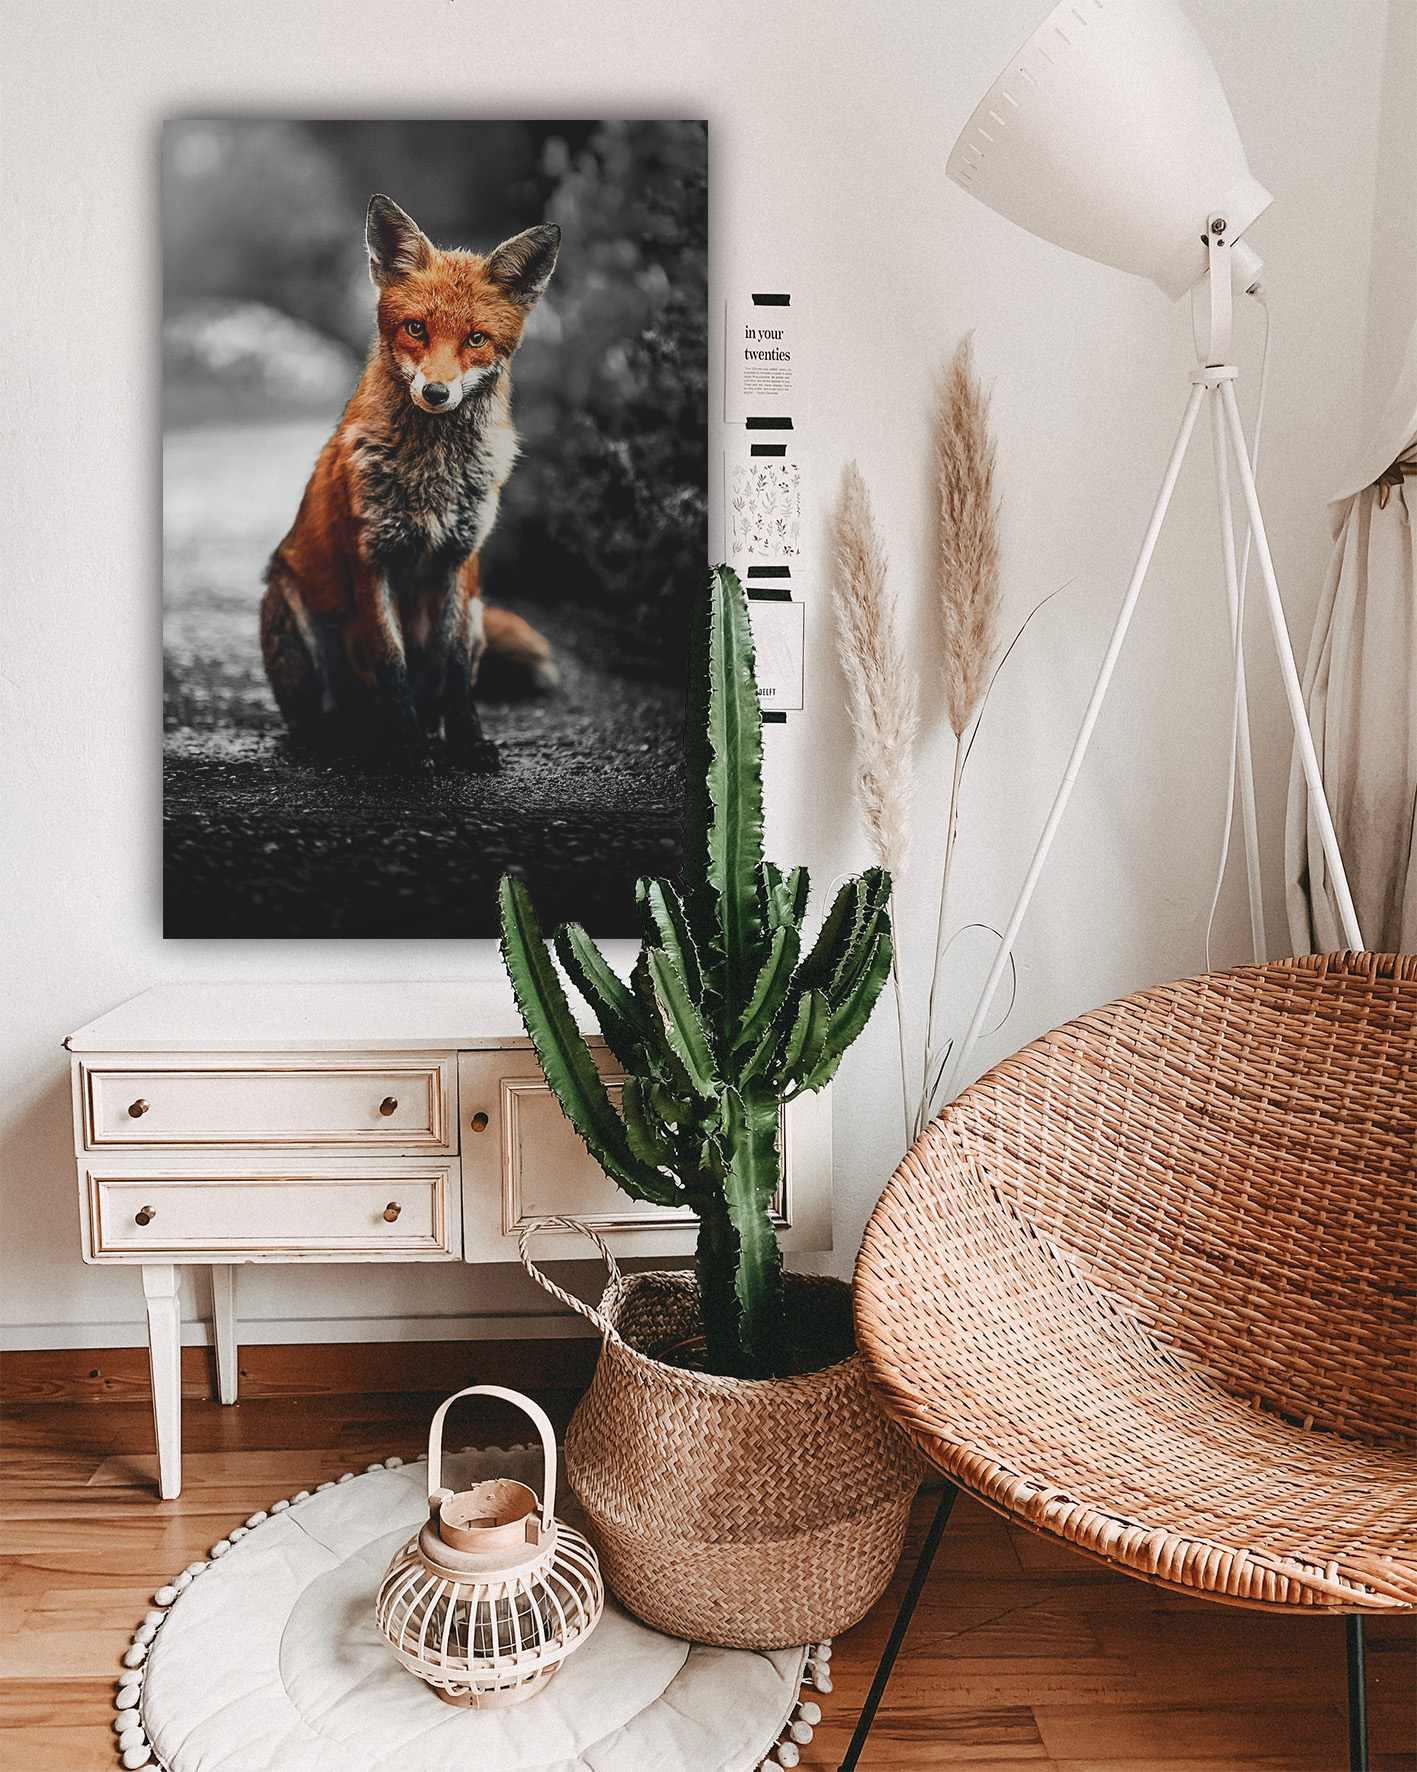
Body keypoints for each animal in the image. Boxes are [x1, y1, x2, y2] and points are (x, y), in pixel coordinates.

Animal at [259, 193, 560, 770]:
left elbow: (457, 669)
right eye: (416, 328)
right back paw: (339, 737)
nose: (437, 393)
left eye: (476, 339)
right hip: (288, 606)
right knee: (318, 714)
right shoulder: (371, 559)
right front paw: (405, 747)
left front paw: (466, 741)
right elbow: (391, 661)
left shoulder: (460, 561)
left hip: (479, 611)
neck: (432, 475)